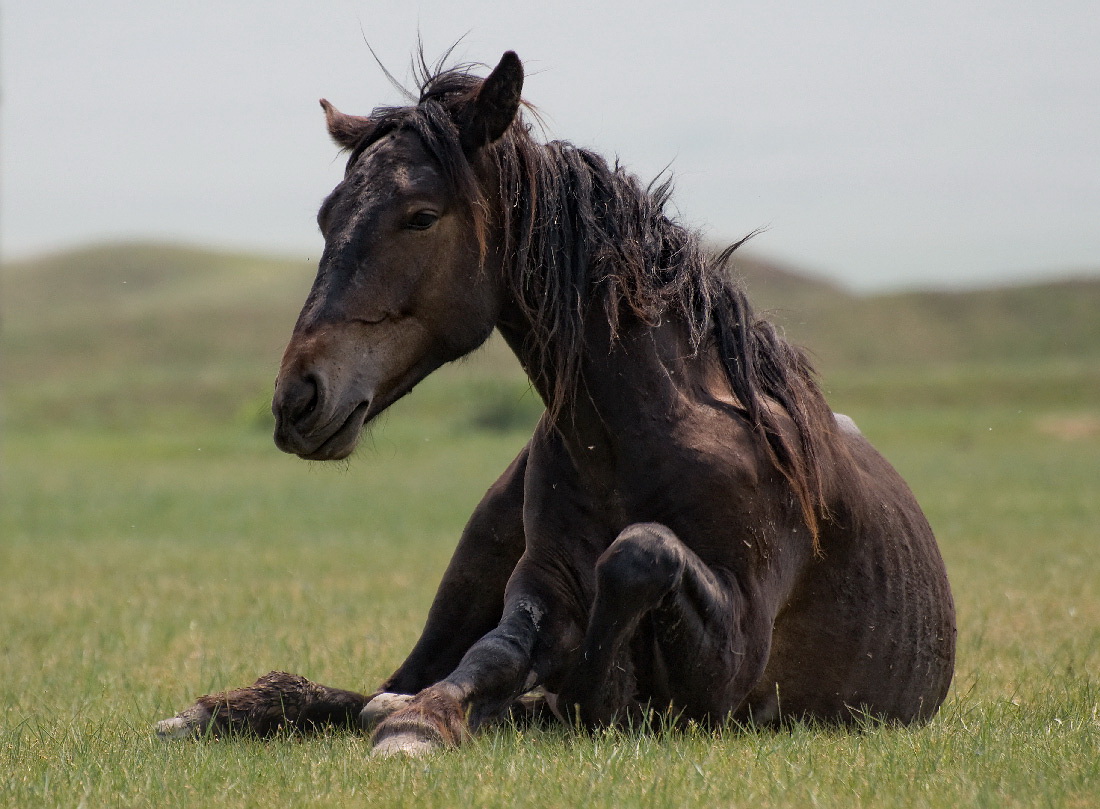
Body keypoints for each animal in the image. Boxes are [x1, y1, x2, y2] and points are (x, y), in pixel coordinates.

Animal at [155, 53, 954, 757]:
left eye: (420, 216)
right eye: (327, 217)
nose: (298, 397)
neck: (643, 435)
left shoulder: (730, 667)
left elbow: (636, 554)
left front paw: (583, 692)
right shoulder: (540, 587)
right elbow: (496, 655)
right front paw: (425, 722)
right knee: (393, 679)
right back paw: (226, 712)